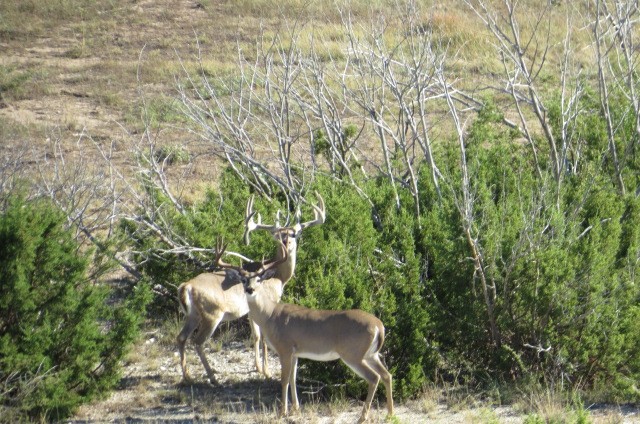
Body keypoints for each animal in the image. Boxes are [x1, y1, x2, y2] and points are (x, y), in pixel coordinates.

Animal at [218, 240, 392, 422]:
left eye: (259, 279)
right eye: (244, 280)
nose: (250, 289)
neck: (270, 315)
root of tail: (379, 326)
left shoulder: (285, 348)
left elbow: (284, 379)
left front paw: (282, 412)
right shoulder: (296, 353)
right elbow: (293, 379)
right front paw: (295, 408)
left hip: (353, 353)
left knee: (374, 377)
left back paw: (362, 417)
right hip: (371, 354)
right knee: (387, 375)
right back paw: (389, 414)